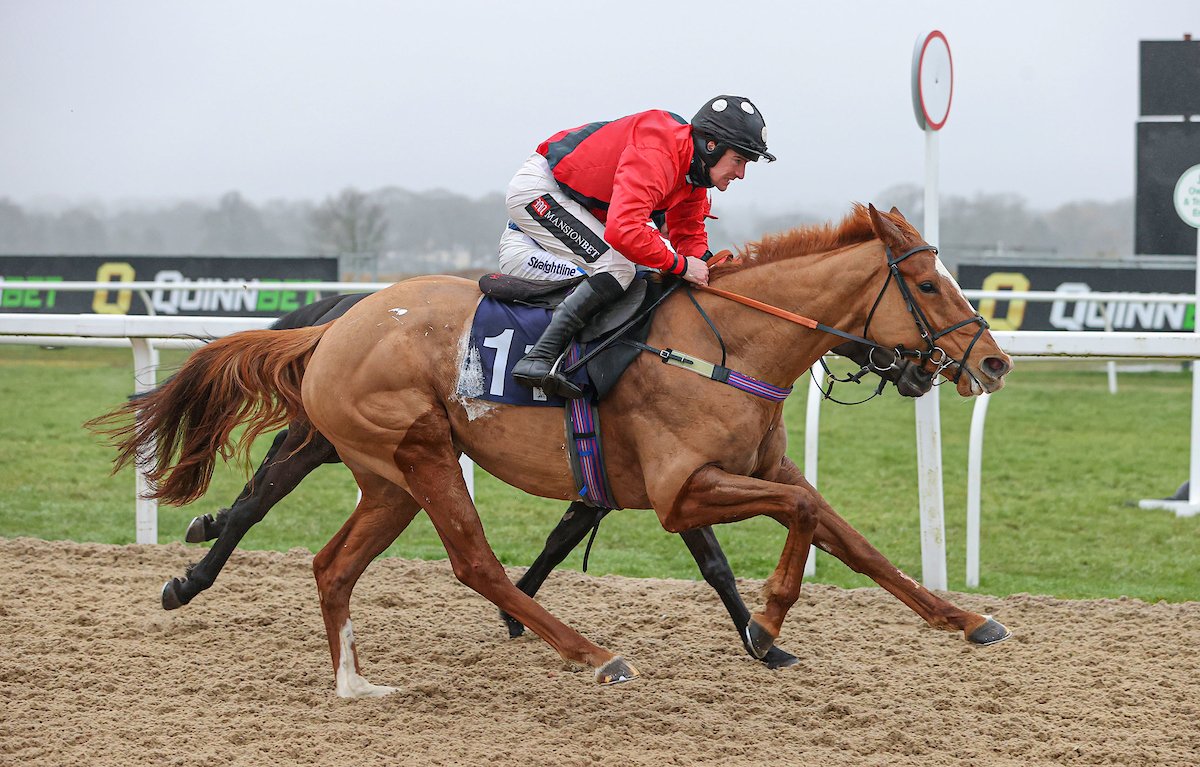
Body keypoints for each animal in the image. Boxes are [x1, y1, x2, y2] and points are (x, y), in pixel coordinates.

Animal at [96, 206, 1012, 700]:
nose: (995, 361)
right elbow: (792, 519)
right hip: (420, 452)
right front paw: (772, 617)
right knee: (467, 558)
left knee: (331, 562)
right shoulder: (681, 489)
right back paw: (593, 652)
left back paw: (351, 679)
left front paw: (964, 617)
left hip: (385, 476)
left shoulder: (752, 468)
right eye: (925, 284)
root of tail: (340, 321)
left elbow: (843, 531)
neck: (728, 344)